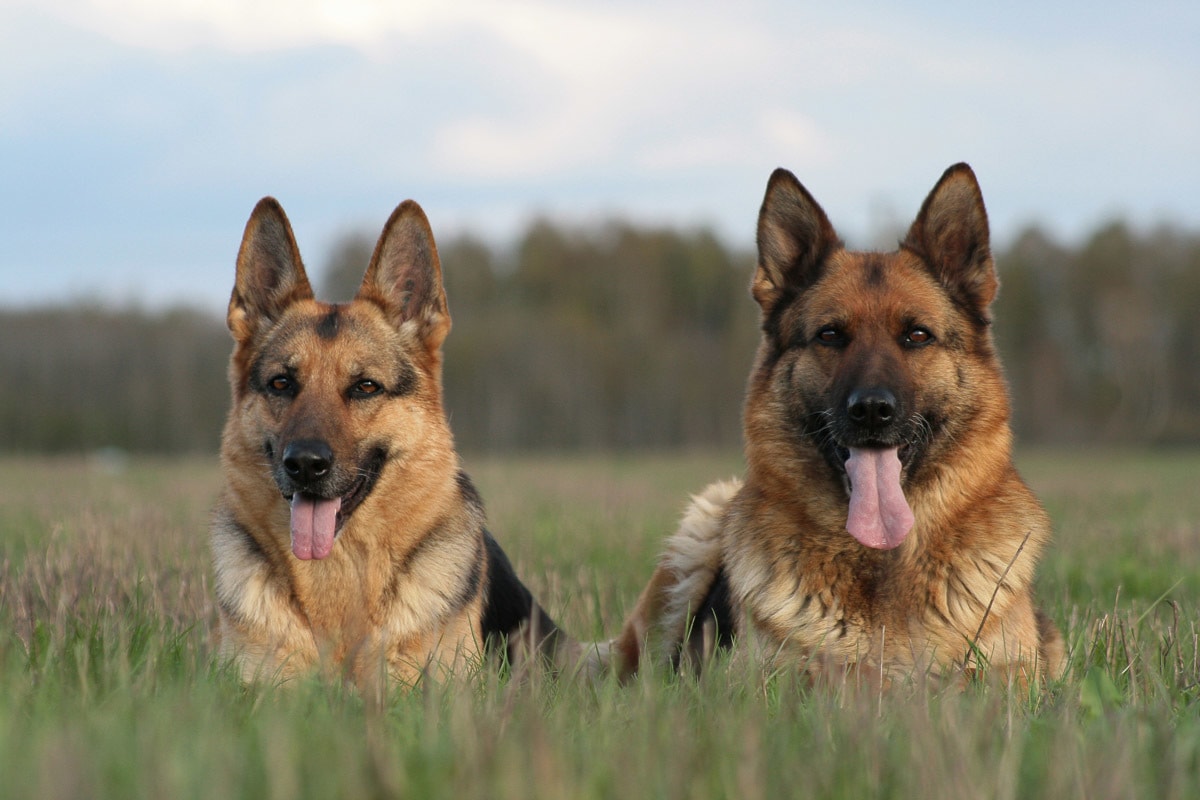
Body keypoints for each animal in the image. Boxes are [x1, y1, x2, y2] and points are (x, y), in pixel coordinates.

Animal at [609, 164, 1070, 690]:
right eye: (830, 335)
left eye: (917, 335)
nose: (871, 410)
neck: (882, 559)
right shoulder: (767, 677)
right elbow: (842, 676)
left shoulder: (1015, 671)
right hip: (701, 527)